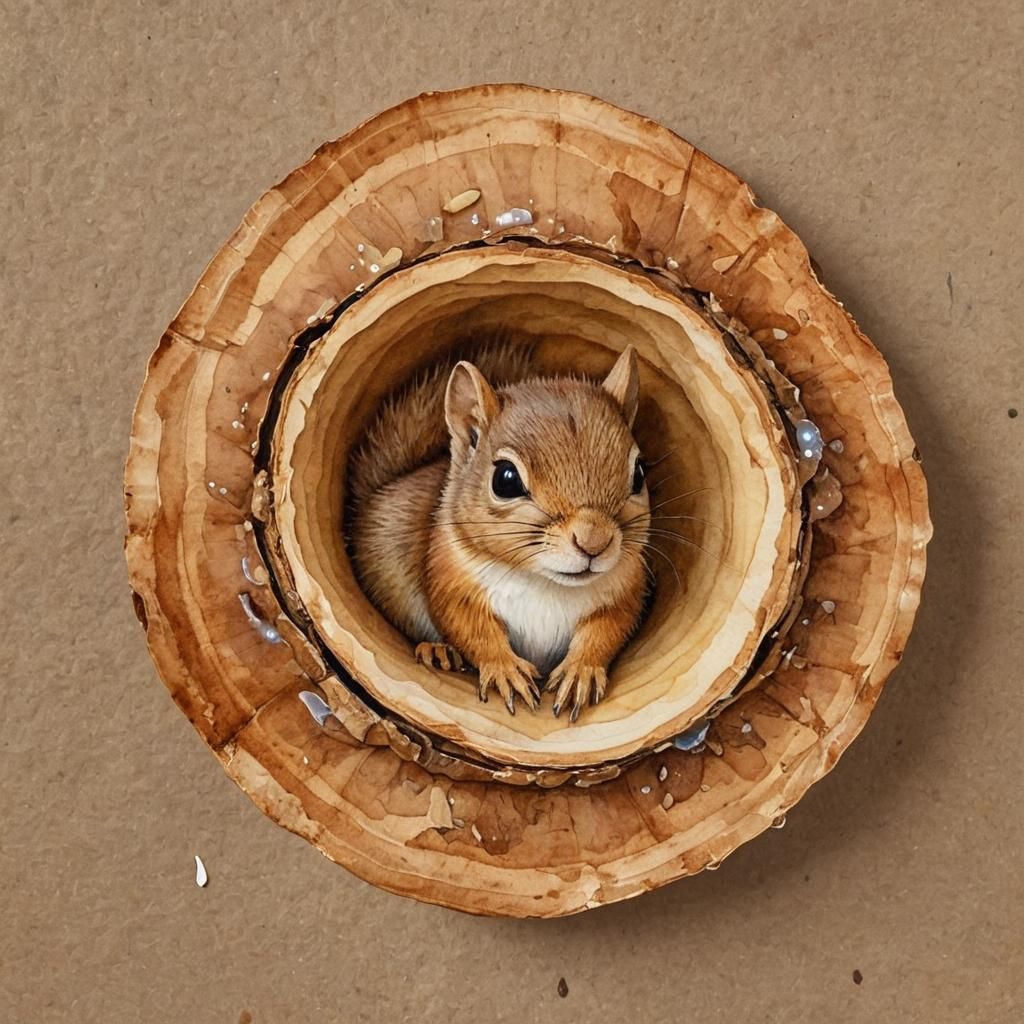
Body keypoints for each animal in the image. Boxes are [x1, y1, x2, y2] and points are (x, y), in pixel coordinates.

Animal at [348, 342, 650, 721]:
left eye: (639, 474)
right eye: (505, 479)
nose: (594, 541)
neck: (546, 584)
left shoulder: (624, 592)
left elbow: (608, 629)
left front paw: (580, 671)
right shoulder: (451, 580)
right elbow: (470, 627)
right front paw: (506, 671)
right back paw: (436, 649)